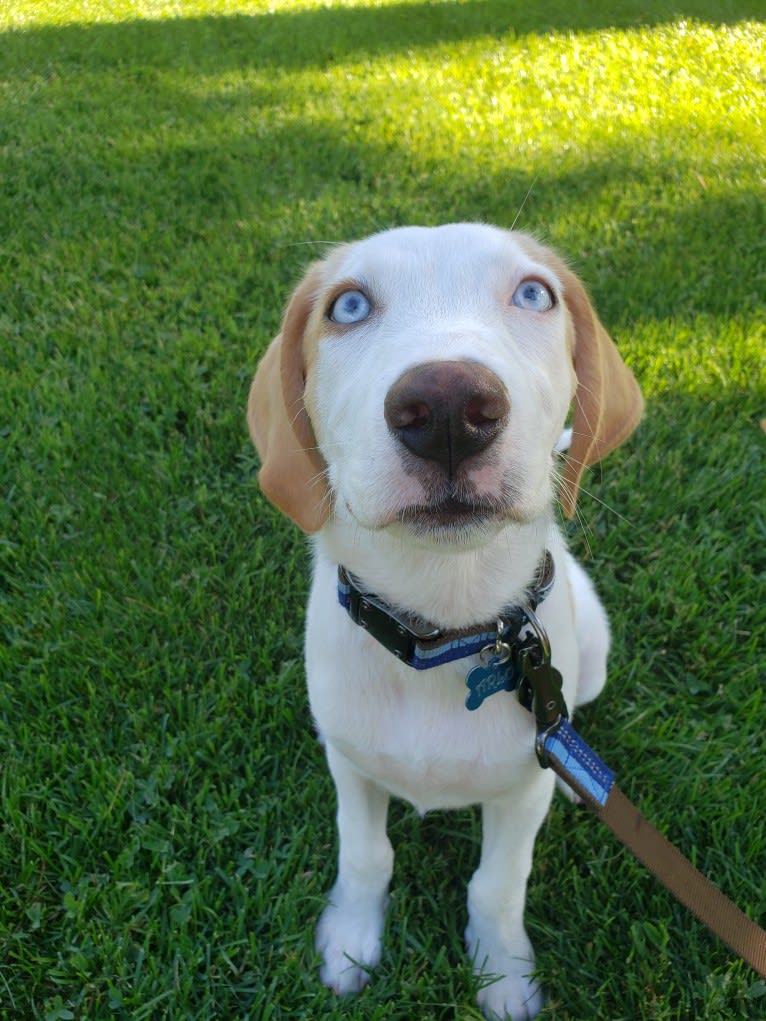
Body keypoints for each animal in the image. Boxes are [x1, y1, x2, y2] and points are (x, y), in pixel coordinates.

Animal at [249, 225, 645, 1021]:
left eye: (534, 293)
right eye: (347, 305)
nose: (448, 405)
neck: (445, 626)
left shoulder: (523, 789)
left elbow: (497, 885)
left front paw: (504, 975)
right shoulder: (349, 763)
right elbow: (366, 853)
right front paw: (349, 939)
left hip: (590, 659)